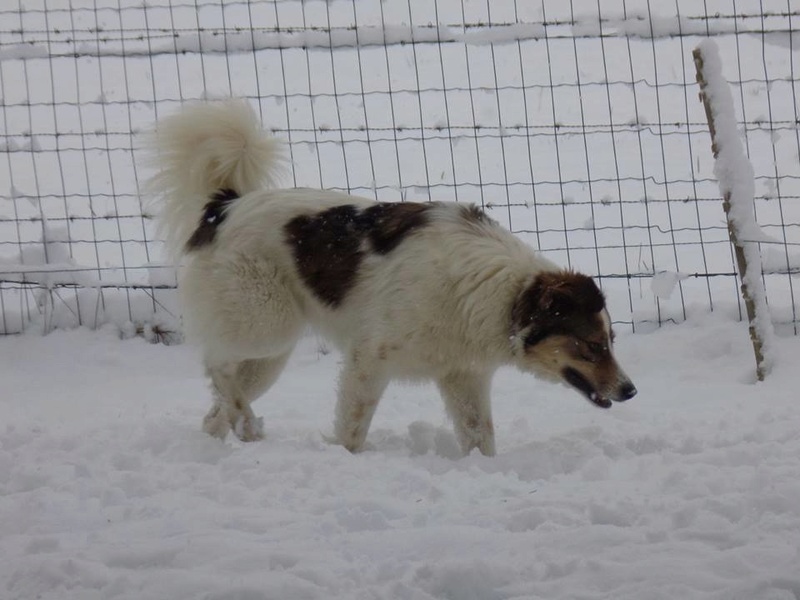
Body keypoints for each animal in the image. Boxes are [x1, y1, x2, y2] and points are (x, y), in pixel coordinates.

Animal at [145, 99, 636, 454]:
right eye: (592, 345)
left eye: (610, 342)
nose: (630, 391)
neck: (501, 294)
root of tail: (224, 206)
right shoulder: (369, 360)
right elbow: (352, 430)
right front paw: (347, 460)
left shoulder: (463, 376)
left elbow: (480, 436)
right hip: (264, 325)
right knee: (215, 363)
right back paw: (247, 423)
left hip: (268, 355)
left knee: (216, 404)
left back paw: (237, 433)